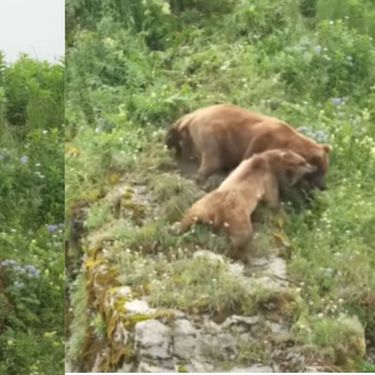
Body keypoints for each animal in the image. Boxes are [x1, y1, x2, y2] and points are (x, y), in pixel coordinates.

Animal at [166, 103, 334, 189]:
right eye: (320, 171)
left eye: (325, 170)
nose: (323, 186)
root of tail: (190, 117)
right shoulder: (262, 140)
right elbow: (249, 159)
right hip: (213, 136)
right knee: (212, 160)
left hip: (189, 139)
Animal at [181, 149, 316, 262]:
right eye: (303, 162)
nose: (312, 167)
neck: (269, 160)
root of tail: (219, 212)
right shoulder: (268, 179)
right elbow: (272, 199)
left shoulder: (244, 164)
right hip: (238, 217)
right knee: (243, 237)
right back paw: (238, 254)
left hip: (202, 206)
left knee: (189, 216)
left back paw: (179, 228)